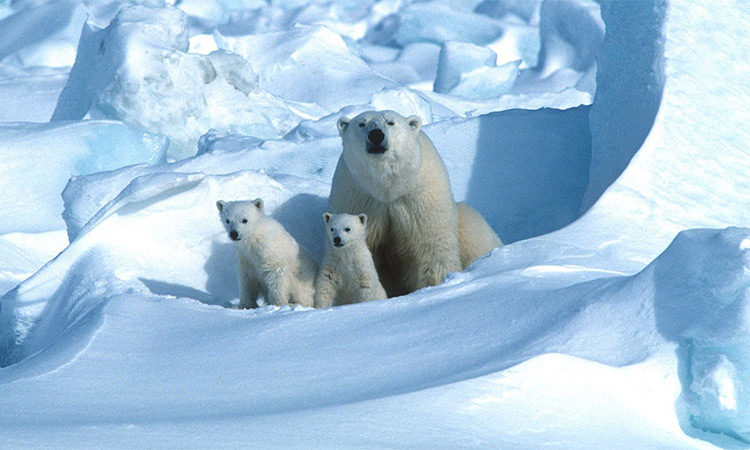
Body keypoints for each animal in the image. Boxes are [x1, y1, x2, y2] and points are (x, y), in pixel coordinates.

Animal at [332, 110, 502, 298]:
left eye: (390, 122)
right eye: (361, 123)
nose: (376, 135)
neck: (387, 188)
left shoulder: (418, 197)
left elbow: (430, 246)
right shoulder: (360, 197)